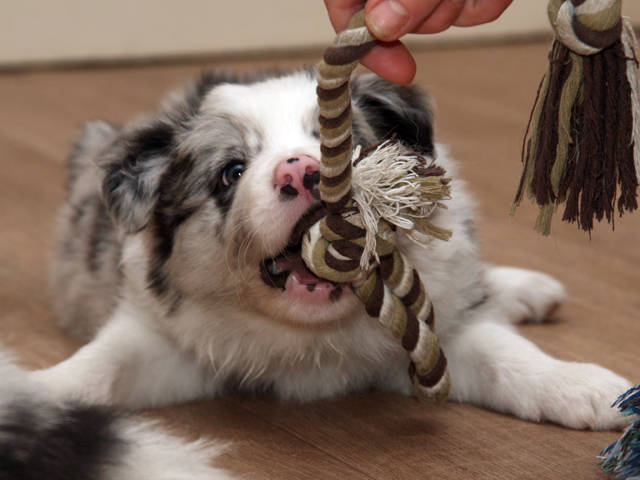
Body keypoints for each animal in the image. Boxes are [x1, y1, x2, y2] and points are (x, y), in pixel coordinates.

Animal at [0, 69, 633, 479]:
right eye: (232, 172)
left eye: (345, 143)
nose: (303, 173)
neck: (311, 339)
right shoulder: (161, 340)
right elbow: (100, 366)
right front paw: (38, 401)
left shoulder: (439, 328)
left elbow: (510, 358)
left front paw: (589, 390)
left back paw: (528, 290)